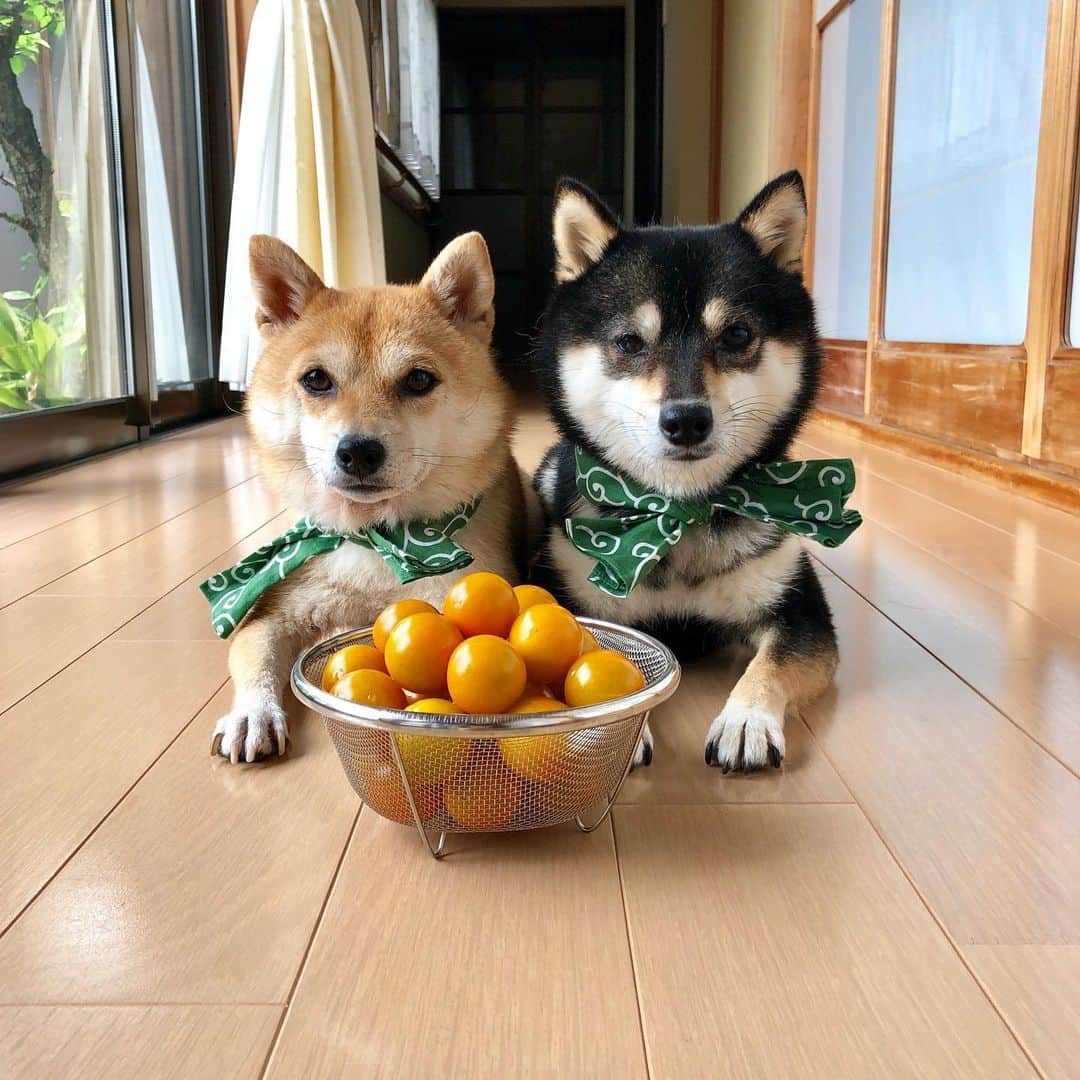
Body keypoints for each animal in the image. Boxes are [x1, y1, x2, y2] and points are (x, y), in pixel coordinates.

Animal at [535, 172, 838, 773]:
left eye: (737, 335)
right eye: (629, 342)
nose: (686, 420)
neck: (679, 510)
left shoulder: (799, 611)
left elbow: (772, 663)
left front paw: (746, 720)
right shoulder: (577, 596)